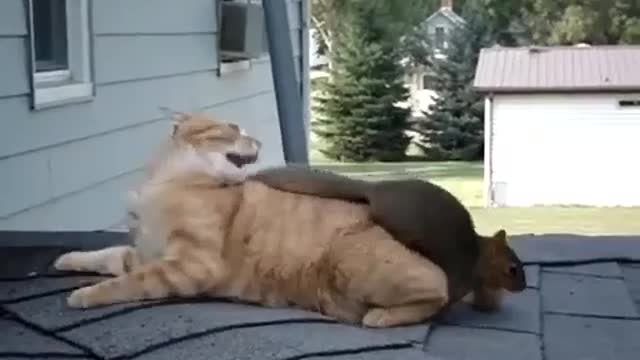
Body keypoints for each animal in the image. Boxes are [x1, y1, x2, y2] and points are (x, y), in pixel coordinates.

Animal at [56, 111, 456, 328]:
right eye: (234, 128)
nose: (260, 142)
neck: (168, 182)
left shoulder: (189, 264)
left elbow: (126, 284)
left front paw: (84, 295)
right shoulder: (144, 254)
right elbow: (107, 255)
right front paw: (68, 260)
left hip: (353, 264)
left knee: (439, 292)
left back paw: (383, 316)